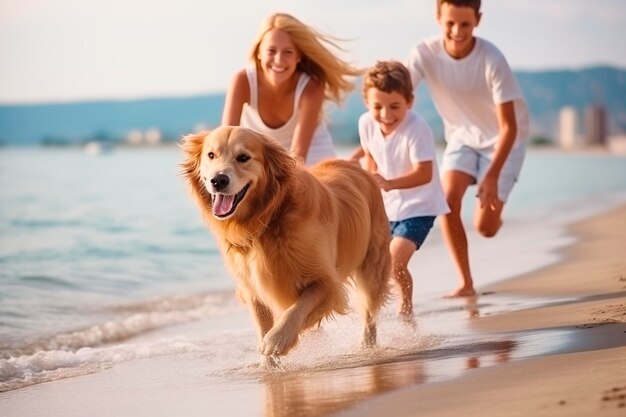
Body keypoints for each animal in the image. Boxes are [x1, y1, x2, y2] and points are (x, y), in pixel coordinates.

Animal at [178, 127, 388, 360]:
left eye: (243, 158)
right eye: (211, 155)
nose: (218, 180)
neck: (267, 220)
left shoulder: (327, 282)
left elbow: (297, 308)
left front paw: (277, 341)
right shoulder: (252, 286)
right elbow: (263, 326)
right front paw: (267, 362)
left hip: (372, 268)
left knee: (369, 312)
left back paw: (367, 346)